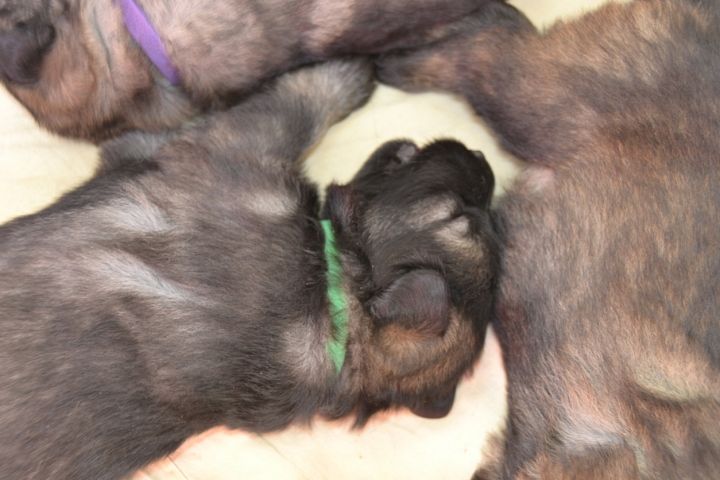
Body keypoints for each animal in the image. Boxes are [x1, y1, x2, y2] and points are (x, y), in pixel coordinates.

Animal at [0, 59, 499, 480]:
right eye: (469, 216)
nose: (484, 160)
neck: (335, 305)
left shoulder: (230, 145)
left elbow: (299, 102)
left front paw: (347, 70)